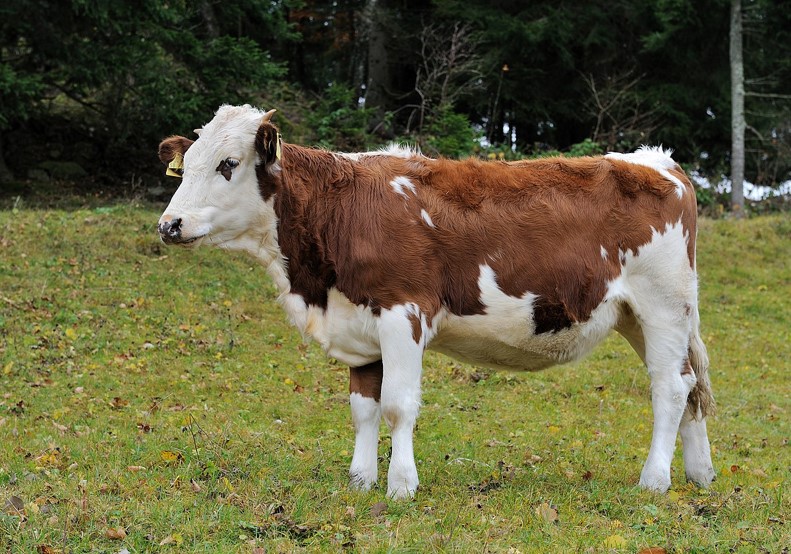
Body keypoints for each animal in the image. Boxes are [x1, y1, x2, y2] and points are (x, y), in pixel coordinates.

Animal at [157, 104, 715, 499]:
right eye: (187, 166)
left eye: (228, 164)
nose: (169, 224)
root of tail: (656, 161)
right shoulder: (359, 325)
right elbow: (363, 408)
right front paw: (360, 480)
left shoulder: (403, 312)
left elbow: (398, 405)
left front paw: (401, 486)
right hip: (638, 316)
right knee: (689, 383)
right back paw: (700, 473)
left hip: (663, 306)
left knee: (670, 387)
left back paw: (654, 480)